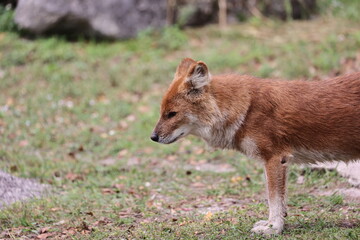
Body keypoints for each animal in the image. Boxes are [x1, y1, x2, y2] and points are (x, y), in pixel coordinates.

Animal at [150, 57, 360, 234]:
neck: (246, 110)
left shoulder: (275, 158)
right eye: (162, 112)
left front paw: (273, 228)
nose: (153, 137)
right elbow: (279, 200)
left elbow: (273, 198)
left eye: (172, 114)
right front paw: (275, 224)